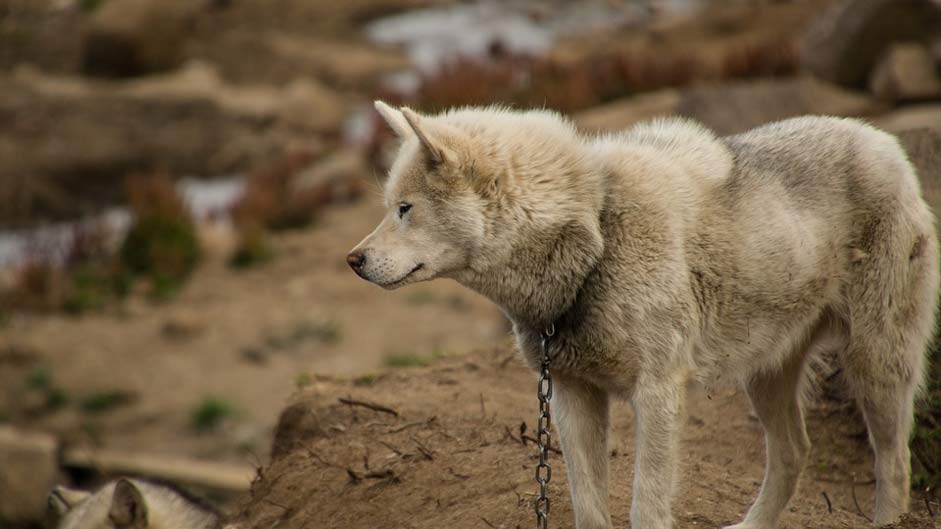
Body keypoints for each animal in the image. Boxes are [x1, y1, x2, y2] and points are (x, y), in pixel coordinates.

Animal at [348, 101, 936, 524]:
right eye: (389, 208)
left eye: (405, 210)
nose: (353, 260)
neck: (598, 235)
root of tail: (884, 140)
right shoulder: (572, 395)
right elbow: (589, 508)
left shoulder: (656, 394)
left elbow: (646, 506)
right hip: (765, 375)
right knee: (795, 452)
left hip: (874, 365)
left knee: (895, 462)